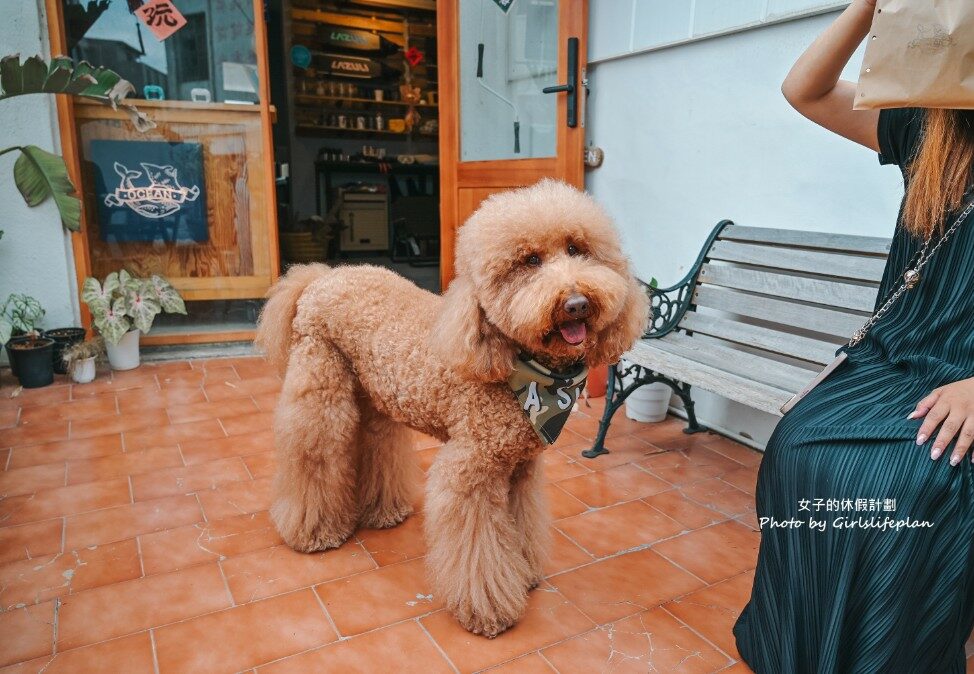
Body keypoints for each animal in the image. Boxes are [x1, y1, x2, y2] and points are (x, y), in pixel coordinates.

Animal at [258, 178, 648, 636]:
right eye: (529, 260)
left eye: (577, 249)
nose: (577, 303)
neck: (519, 368)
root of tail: (321, 276)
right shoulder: (469, 471)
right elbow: (477, 547)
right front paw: (490, 609)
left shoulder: (521, 469)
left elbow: (522, 524)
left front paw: (524, 572)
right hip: (322, 395)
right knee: (314, 455)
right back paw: (314, 531)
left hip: (376, 399)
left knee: (377, 444)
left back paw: (384, 510)